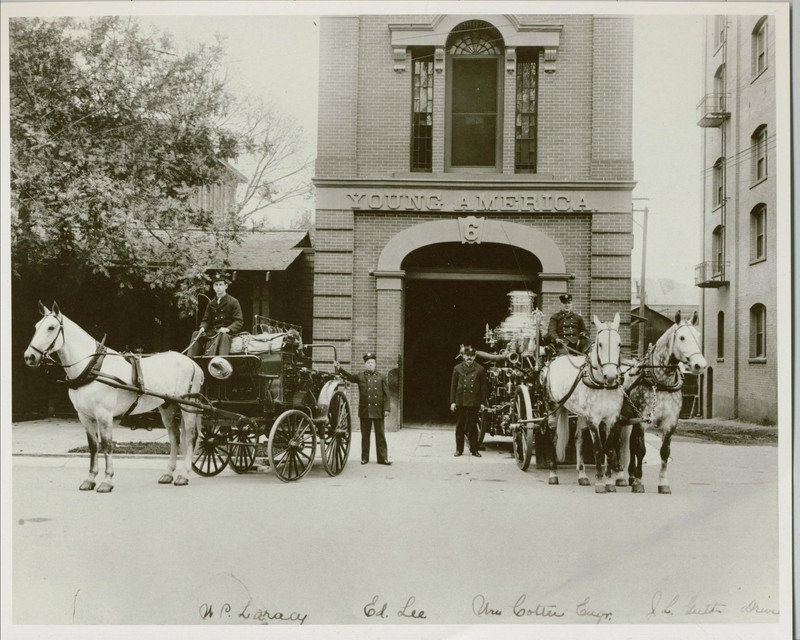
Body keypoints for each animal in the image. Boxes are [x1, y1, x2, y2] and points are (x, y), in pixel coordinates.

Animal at [26, 302, 205, 492]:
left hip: (189, 406)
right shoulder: (85, 416)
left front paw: (107, 480)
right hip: (168, 407)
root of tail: (193, 363)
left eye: (51, 327)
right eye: (36, 327)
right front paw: (90, 479)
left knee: (190, 437)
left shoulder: (104, 414)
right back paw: (169, 473)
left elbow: (107, 445)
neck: (92, 368)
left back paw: (183, 475)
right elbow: (93, 446)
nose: (29, 357)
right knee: (175, 438)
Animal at [544, 312, 624, 492]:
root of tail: (558, 358)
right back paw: (552, 474)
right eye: (600, 344)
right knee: (553, 436)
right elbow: (598, 450)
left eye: (619, 344)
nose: (611, 376)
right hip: (553, 406)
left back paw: (582, 475)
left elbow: (609, 449)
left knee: (578, 439)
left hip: (580, 415)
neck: (602, 385)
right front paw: (600, 482)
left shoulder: (612, 419)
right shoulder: (594, 419)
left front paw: (609, 482)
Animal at [616, 312, 708, 492]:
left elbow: (664, 451)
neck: (659, 381)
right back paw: (619, 475)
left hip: (628, 420)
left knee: (628, 445)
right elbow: (641, 450)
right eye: (682, 337)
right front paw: (639, 482)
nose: (700, 365)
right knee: (620, 443)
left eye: (699, 336)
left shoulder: (670, 422)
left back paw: (629, 475)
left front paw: (663, 483)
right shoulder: (642, 421)